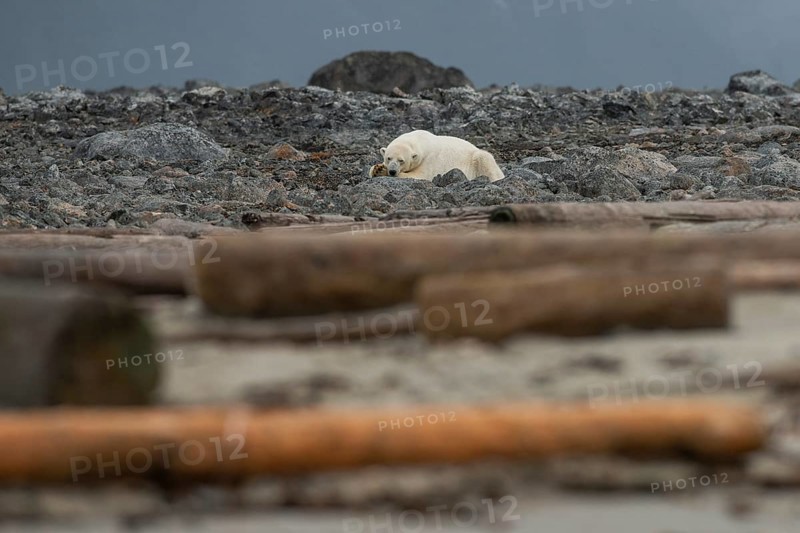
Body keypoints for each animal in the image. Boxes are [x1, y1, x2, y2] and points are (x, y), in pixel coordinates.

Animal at [369, 130, 504, 182]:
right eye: (388, 158)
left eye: (401, 160)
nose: (392, 171)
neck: (422, 140)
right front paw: (378, 169)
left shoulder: (430, 160)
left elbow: (420, 176)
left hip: (476, 158)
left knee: (485, 159)